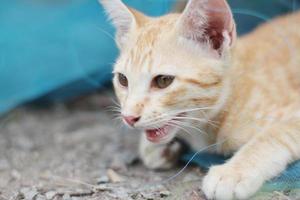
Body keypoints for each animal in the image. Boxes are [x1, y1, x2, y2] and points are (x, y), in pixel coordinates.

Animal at [99, 0, 300, 198]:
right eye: (122, 79)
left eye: (163, 80)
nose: (128, 118)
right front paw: (157, 147)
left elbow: (272, 135)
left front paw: (232, 172)